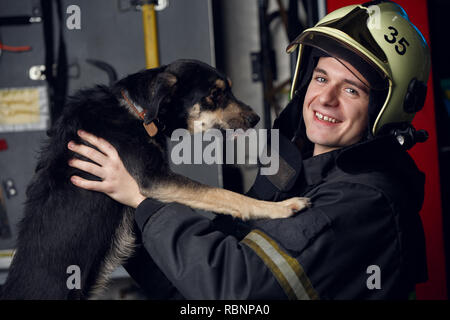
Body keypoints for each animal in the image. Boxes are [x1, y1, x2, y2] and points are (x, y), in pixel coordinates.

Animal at [0, 60, 308, 300]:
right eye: (214, 94)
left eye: (228, 90)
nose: (256, 118)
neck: (136, 110)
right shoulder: (153, 179)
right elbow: (223, 194)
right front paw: (279, 208)